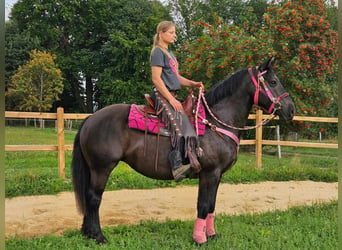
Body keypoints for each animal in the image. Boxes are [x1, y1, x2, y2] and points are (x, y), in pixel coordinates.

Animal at [71, 56, 294, 244]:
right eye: (273, 82)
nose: (291, 109)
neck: (215, 122)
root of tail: (90, 119)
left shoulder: (218, 175)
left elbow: (211, 205)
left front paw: (211, 235)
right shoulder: (209, 173)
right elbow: (203, 205)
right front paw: (200, 239)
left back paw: (87, 233)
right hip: (102, 168)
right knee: (94, 198)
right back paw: (98, 236)